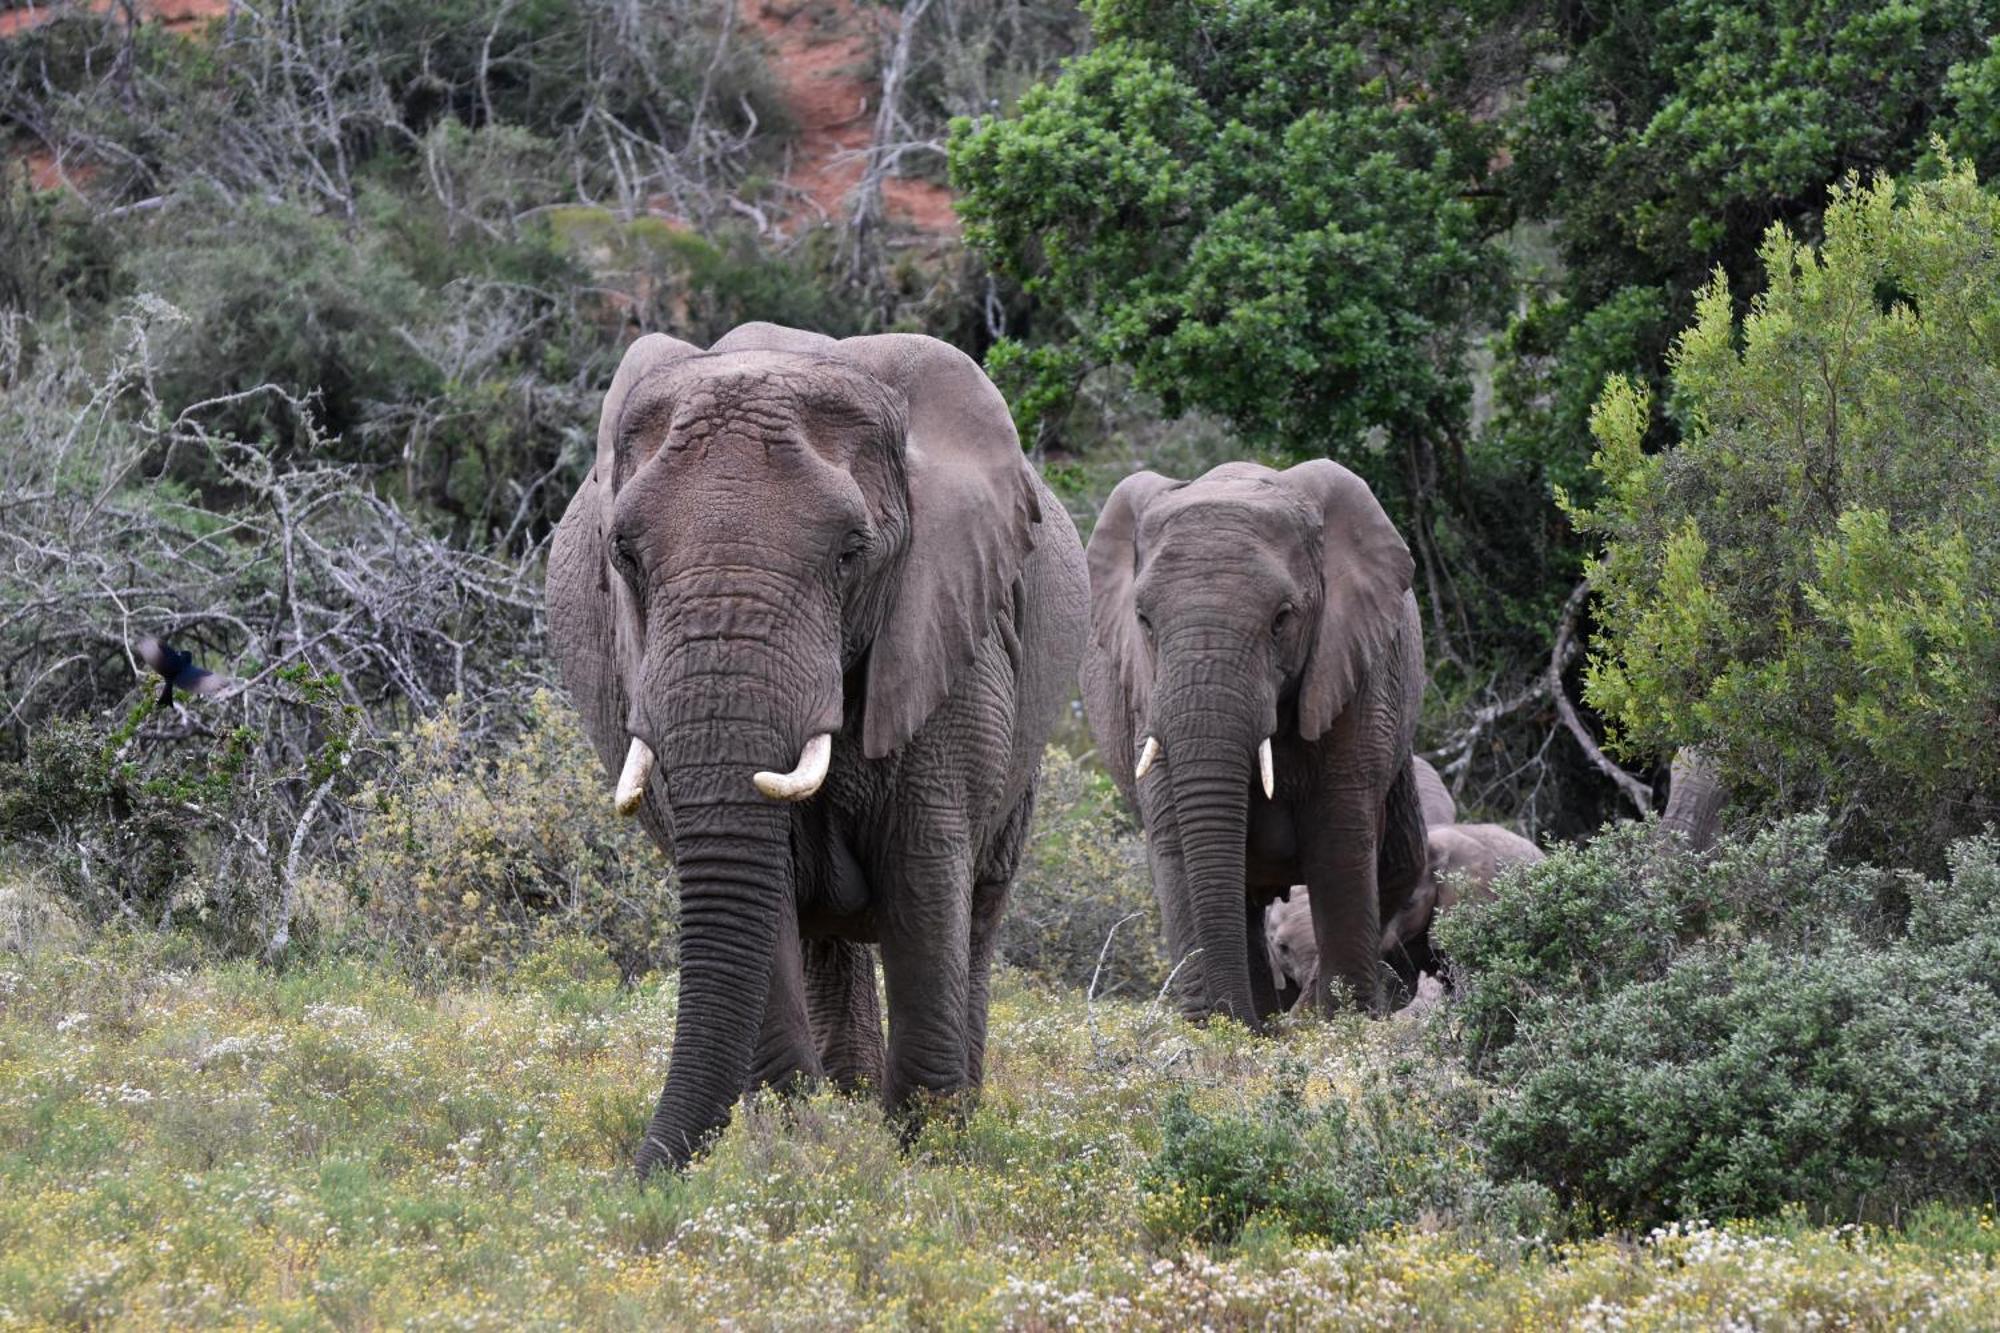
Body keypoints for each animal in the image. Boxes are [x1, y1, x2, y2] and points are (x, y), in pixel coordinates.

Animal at [548, 322, 1088, 1176]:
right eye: (624, 554)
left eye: (848, 554)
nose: (638, 1174)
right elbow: (757, 894)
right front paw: (801, 1145)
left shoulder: (950, 627)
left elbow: (926, 873)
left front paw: (928, 1156)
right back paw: (850, 1097)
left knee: (979, 905)